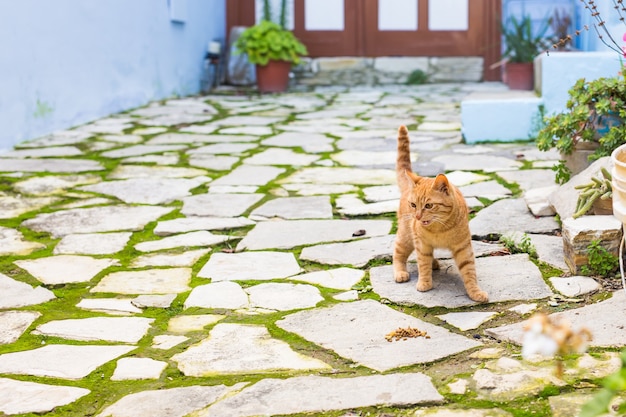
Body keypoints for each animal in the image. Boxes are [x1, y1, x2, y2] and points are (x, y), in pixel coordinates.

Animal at [390, 124, 488, 302]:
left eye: (429, 205)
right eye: (413, 205)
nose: (417, 216)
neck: (439, 229)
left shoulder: (463, 247)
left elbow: (469, 271)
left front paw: (475, 292)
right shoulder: (421, 244)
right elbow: (422, 264)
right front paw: (424, 283)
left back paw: (434, 263)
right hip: (406, 237)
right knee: (398, 253)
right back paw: (401, 272)